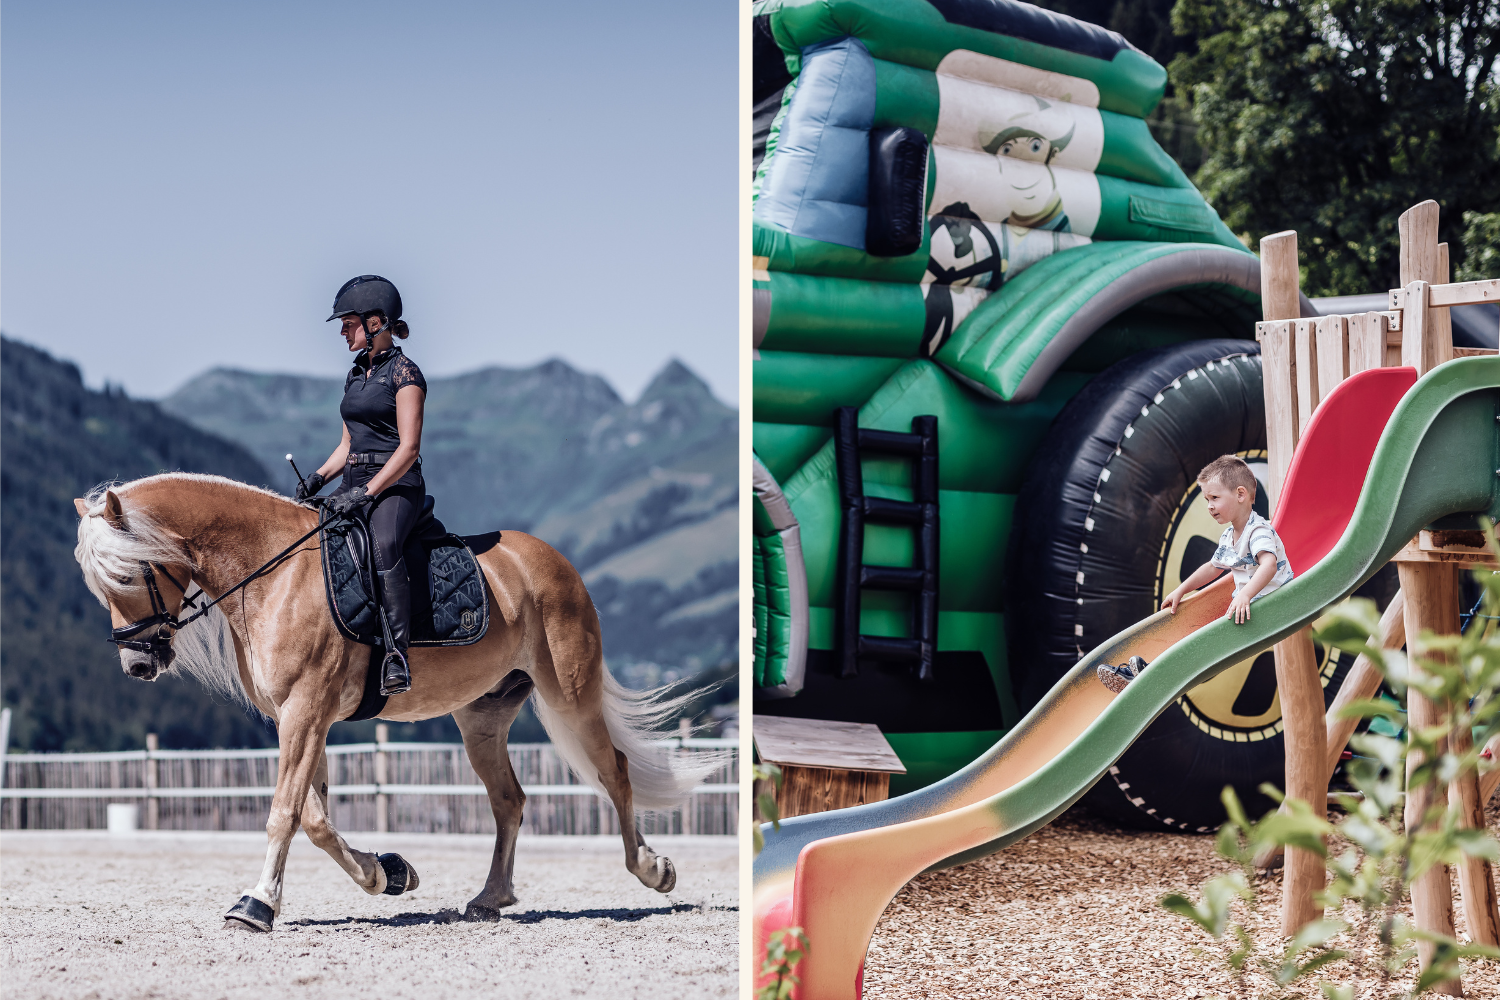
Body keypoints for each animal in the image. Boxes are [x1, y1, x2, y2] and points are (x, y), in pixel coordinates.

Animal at [72, 473, 728, 932]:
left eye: (127, 575)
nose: (139, 666)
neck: (272, 573)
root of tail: (552, 560)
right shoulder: (300, 716)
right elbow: (315, 818)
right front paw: (387, 873)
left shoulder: (306, 710)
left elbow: (286, 812)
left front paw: (255, 905)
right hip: (482, 717)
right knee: (509, 800)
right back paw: (490, 899)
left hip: (570, 696)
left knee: (614, 771)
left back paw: (653, 870)